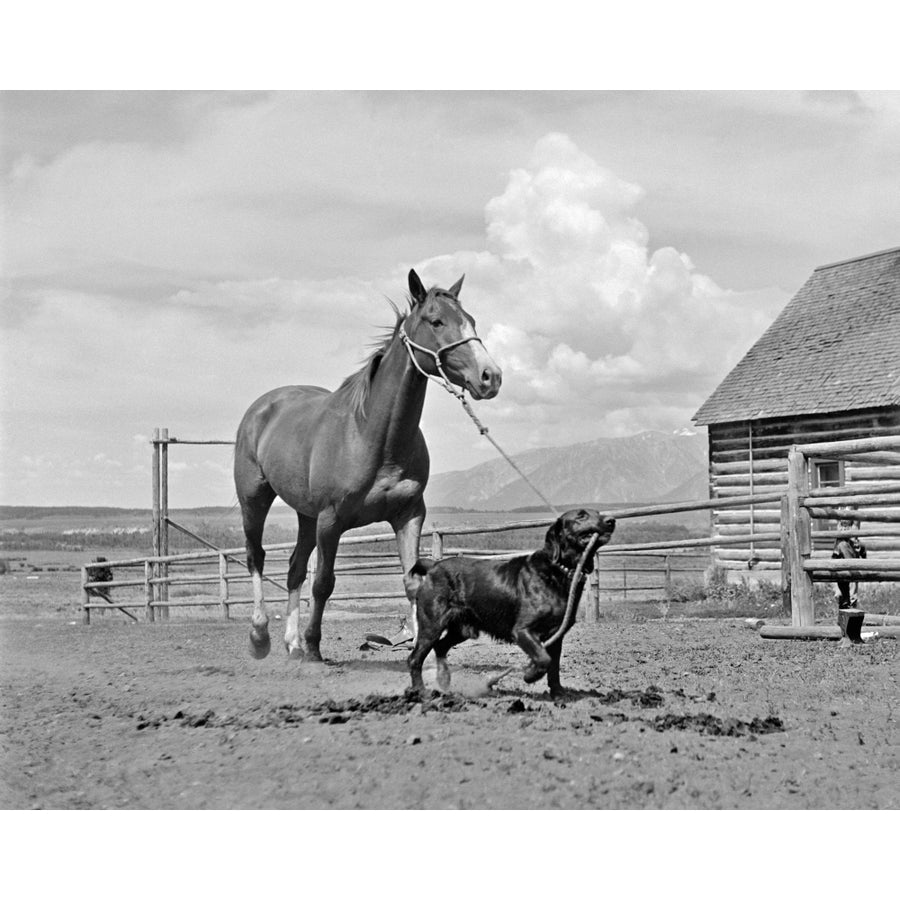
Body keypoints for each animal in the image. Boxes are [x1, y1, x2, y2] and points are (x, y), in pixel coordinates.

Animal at [232, 268, 502, 660]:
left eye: (471, 320)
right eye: (436, 321)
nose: (490, 376)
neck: (373, 436)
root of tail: (262, 407)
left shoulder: (408, 514)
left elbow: (411, 582)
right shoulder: (331, 520)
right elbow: (324, 583)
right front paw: (315, 647)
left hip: (305, 514)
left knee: (295, 569)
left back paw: (292, 643)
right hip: (255, 499)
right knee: (257, 557)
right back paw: (261, 636)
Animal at [406, 506, 612, 696]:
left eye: (598, 512)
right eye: (581, 515)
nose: (611, 520)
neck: (558, 570)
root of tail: (434, 566)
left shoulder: (556, 636)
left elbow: (553, 666)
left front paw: (559, 693)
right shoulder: (523, 631)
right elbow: (543, 659)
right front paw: (530, 675)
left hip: (462, 630)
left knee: (440, 647)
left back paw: (444, 681)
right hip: (432, 626)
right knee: (414, 659)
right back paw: (420, 691)